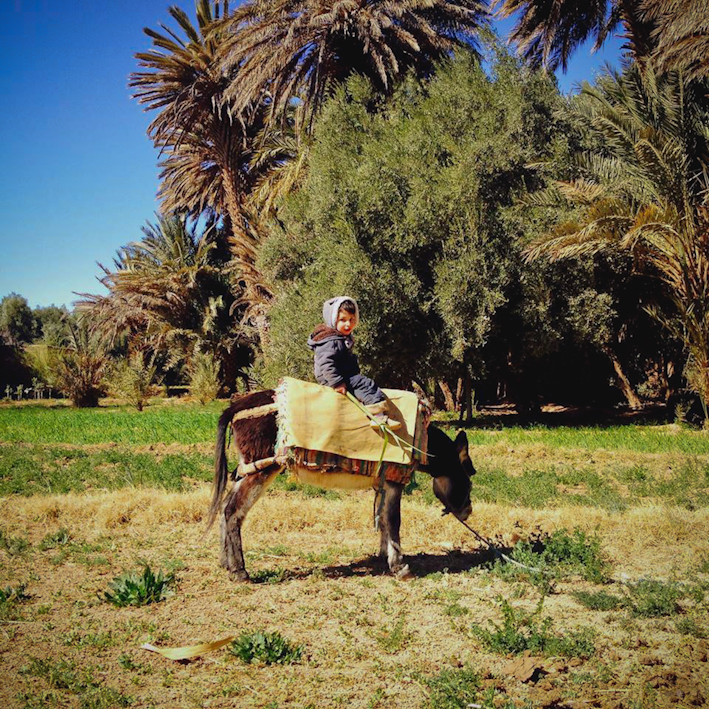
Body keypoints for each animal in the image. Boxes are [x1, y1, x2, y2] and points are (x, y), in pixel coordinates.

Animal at [207, 389, 475, 580]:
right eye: (469, 482)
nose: (468, 511)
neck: (420, 440)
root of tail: (237, 406)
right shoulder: (394, 480)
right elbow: (393, 520)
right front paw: (400, 567)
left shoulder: (382, 483)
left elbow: (381, 519)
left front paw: (383, 556)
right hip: (263, 469)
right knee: (233, 511)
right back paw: (240, 571)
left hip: (249, 468)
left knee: (225, 507)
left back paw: (224, 563)